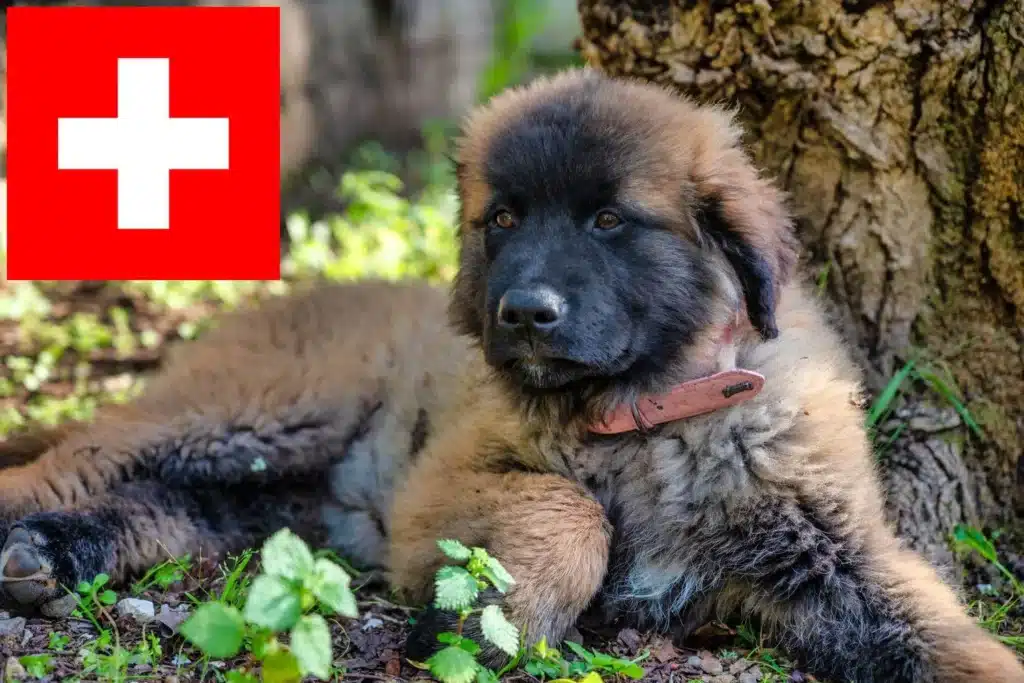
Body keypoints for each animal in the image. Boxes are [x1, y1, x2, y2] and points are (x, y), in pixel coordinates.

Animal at [387, 70, 1019, 683]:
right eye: (503, 219)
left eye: (609, 220)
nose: (524, 312)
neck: (645, 415)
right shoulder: (426, 499)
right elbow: (568, 505)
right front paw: (495, 620)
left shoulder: (837, 548)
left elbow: (948, 638)